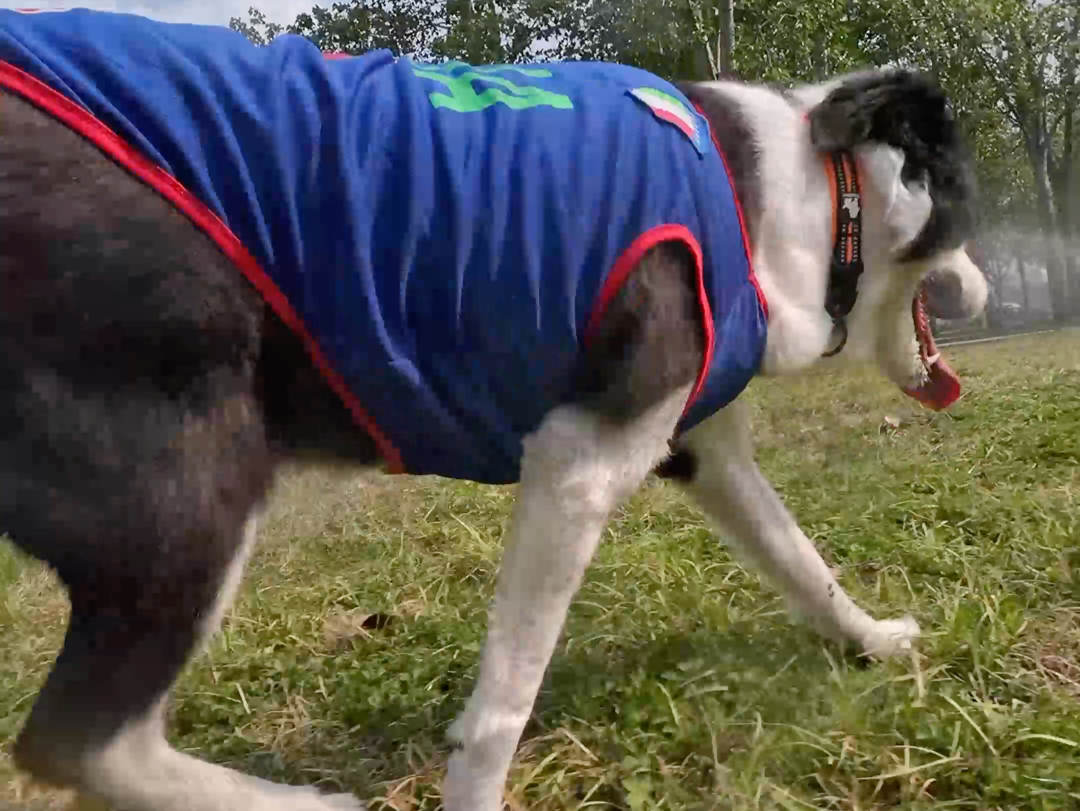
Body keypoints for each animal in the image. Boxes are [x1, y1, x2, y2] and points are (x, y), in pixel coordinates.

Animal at [0, 7, 990, 811]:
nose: (985, 290)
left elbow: (799, 558)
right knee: (80, 741)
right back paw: (302, 803)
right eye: (966, 207)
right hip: (187, 478)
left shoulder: (702, 447)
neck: (821, 197)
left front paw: (872, 639)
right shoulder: (578, 464)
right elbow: (504, 703)